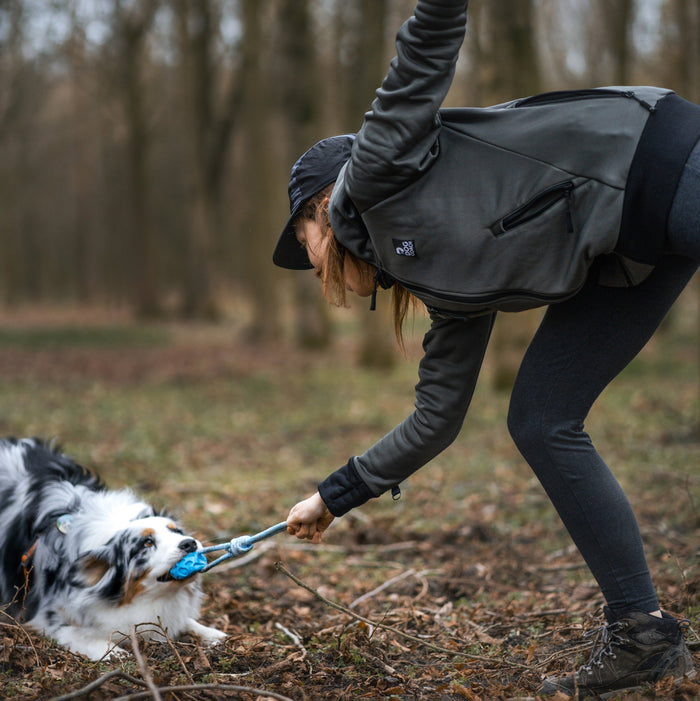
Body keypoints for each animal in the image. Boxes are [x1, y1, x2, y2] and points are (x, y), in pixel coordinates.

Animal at [0, 434, 226, 660]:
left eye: (177, 531)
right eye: (147, 542)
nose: (189, 543)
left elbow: (186, 622)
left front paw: (212, 633)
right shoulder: (48, 617)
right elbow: (80, 635)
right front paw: (116, 653)